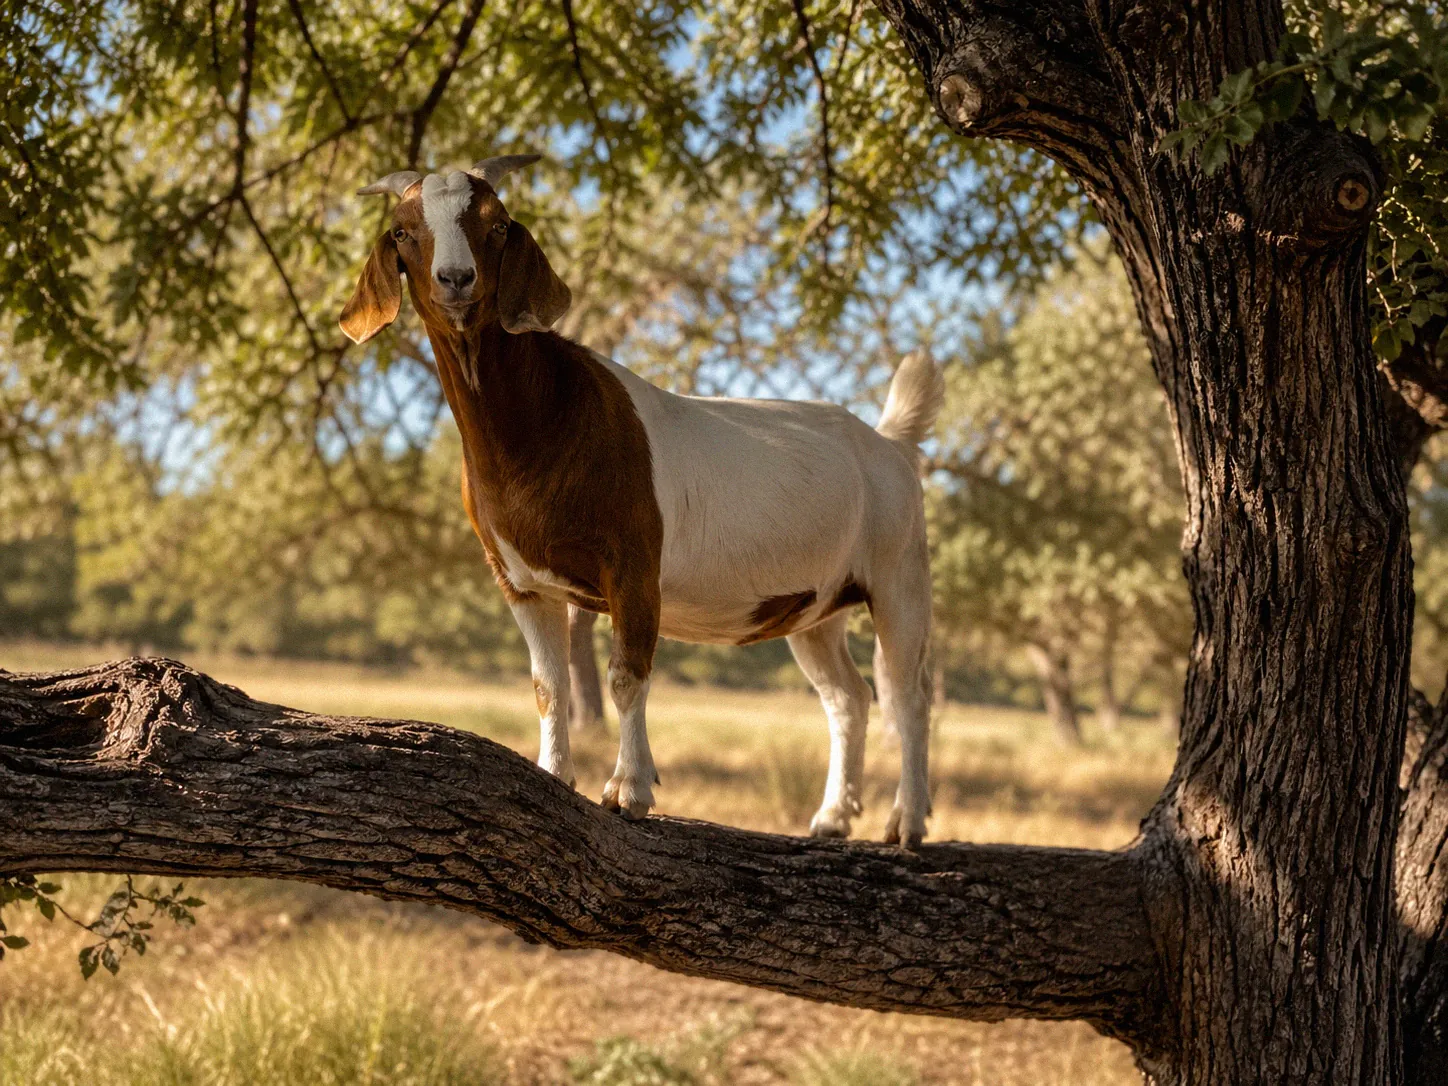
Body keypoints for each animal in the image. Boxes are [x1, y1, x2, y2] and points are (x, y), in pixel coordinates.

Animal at [339, 155, 944, 845]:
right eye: (403, 231)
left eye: (497, 225)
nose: (456, 279)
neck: (544, 422)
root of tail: (890, 442)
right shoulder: (518, 580)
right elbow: (548, 685)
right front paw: (555, 774)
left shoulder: (631, 564)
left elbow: (626, 676)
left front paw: (629, 790)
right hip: (817, 605)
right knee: (848, 696)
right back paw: (831, 819)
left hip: (899, 573)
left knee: (908, 694)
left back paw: (907, 821)